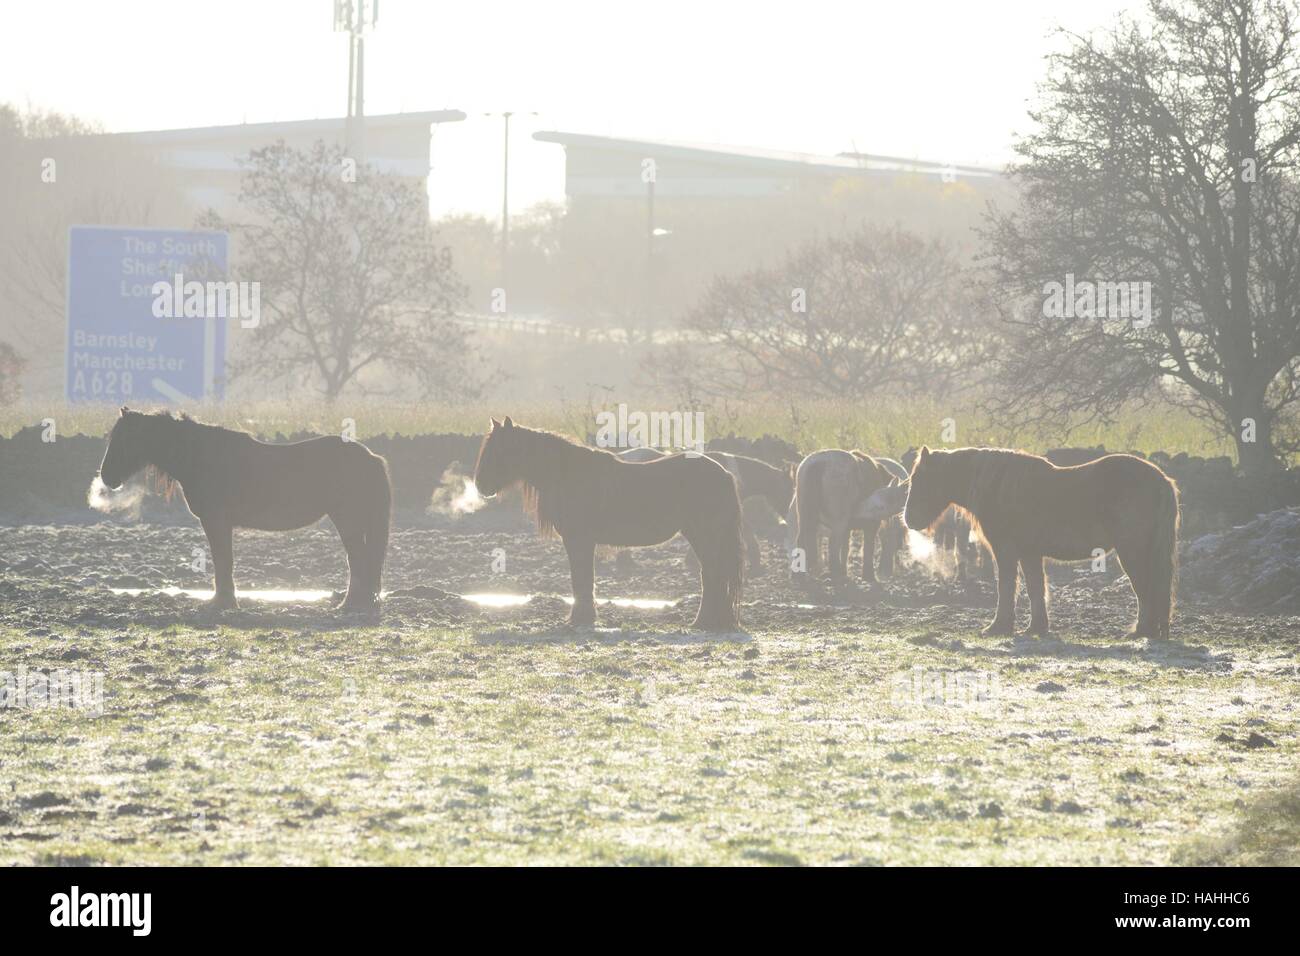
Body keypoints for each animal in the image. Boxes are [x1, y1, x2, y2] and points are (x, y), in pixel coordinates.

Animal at [98, 408, 387, 608]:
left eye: (124, 439)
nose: (106, 476)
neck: (201, 458)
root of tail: (370, 456)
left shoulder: (215, 522)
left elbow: (222, 560)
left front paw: (222, 602)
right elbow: (224, 560)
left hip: (346, 520)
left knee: (358, 559)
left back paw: (350, 604)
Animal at [475, 416, 743, 629]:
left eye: (499, 449)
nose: (480, 485)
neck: (567, 475)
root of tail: (724, 473)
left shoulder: (578, 541)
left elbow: (581, 579)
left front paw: (581, 619)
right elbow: (583, 580)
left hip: (704, 535)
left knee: (713, 574)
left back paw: (704, 622)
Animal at [904, 444, 1180, 639]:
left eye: (920, 479)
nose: (908, 519)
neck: (999, 486)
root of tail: (1162, 480)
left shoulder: (1006, 552)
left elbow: (1007, 587)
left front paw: (998, 627)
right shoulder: (1030, 554)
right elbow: (1035, 588)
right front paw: (1035, 628)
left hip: (1132, 552)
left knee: (1145, 589)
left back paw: (1140, 632)